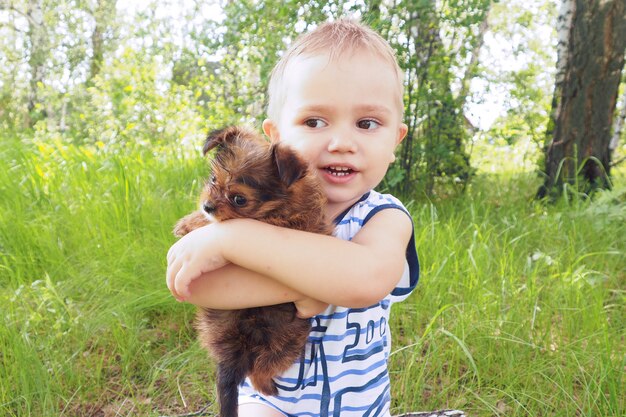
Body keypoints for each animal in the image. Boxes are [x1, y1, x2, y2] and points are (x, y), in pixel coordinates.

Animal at [173, 126, 334, 416]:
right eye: (213, 178)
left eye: (239, 199)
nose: (207, 206)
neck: (281, 202)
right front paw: (190, 221)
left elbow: (226, 224)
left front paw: (196, 224)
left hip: (289, 343)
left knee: (259, 371)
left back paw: (268, 387)